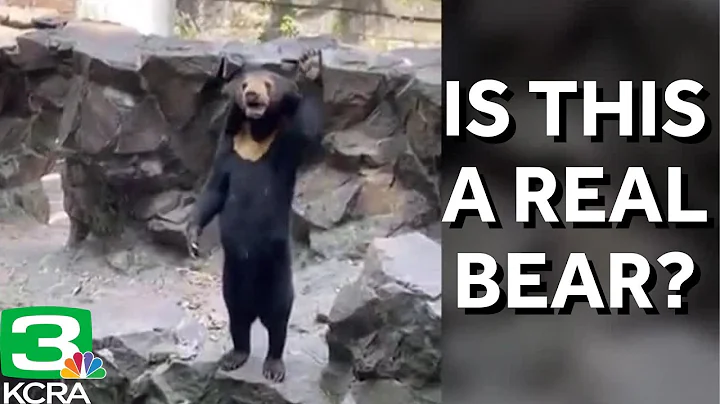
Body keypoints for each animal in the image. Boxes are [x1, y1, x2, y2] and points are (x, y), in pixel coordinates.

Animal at [185, 49, 325, 383]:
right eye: (245, 84)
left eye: (268, 84)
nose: (252, 95)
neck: (256, 137)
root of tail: (256, 307)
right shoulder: (228, 148)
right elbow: (214, 190)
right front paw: (192, 238)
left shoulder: (285, 145)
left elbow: (310, 133)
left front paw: (311, 66)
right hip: (232, 279)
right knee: (237, 318)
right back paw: (234, 356)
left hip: (277, 273)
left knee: (278, 318)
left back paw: (273, 366)